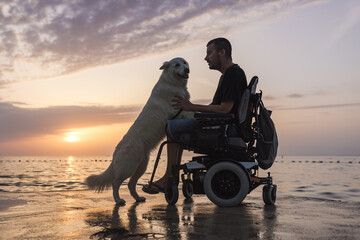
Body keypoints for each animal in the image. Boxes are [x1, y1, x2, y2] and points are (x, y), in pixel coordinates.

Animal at [85, 57, 191, 204]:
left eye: (185, 63)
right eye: (176, 65)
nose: (187, 69)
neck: (173, 83)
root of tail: (116, 152)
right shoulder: (176, 110)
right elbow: (191, 112)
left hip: (141, 166)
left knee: (130, 184)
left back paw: (138, 198)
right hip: (129, 167)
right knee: (116, 183)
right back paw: (118, 200)